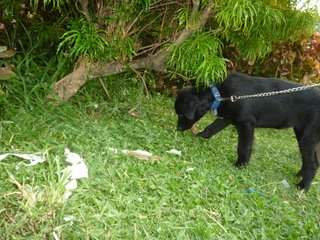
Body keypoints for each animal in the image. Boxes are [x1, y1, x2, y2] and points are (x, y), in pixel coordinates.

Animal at [175, 72, 320, 190]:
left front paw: (240, 165)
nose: (178, 129)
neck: (220, 95)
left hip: (307, 137)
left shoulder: (246, 124)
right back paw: (299, 175)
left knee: (312, 164)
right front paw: (198, 137)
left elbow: (243, 148)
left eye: (181, 115)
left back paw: (302, 186)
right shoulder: (226, 118)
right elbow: (211, 128)